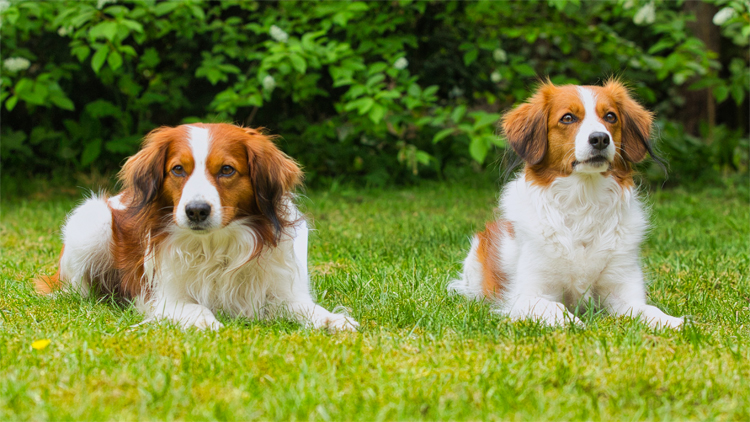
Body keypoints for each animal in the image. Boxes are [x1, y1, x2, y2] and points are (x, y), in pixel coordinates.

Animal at [36, 123, 360, 332]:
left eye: (227, 170)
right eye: (178, 169)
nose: (196, 211)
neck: (217, 244)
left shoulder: (280, 290)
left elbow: (304, 307)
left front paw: (332, 320)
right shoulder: (164, 297)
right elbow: (194, 307)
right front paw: (206, 321)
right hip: (91, 222)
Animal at [452, 81, 688, 328]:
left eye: (610, 116)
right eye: (567, 118)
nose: (600, 138)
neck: (584, 201)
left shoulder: (623, 293)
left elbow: (648, 310)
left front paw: (675, 323)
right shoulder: (526, 296)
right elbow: (556, 309)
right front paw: (578, 326)